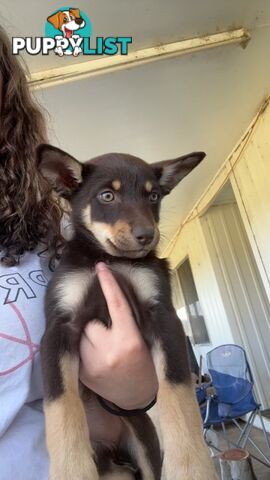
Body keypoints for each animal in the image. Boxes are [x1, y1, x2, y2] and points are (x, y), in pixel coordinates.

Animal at [37, 146, 217, 480]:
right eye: (107, 196)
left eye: (154, 196)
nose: (147, 235)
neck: (110, 259)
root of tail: (110, 452)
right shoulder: (58, 328)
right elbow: (61, 408)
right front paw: (72, 470)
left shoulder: (163, 317)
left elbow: (178, 394)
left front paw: (191, 467)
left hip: (142, 438)